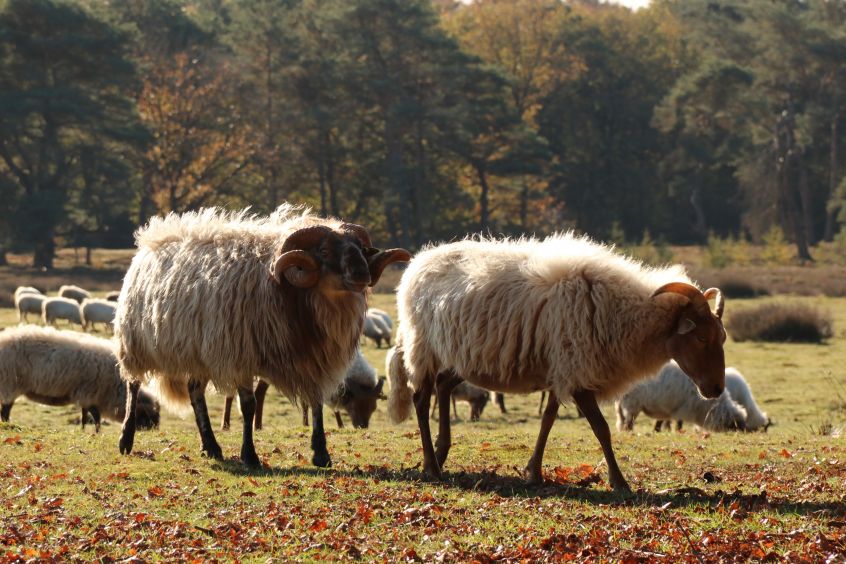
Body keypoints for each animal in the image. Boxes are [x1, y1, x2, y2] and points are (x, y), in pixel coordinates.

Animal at [0, 324, 161, 430]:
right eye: (147, 413)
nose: (155, 429)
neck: (116, 388)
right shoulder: (88, 393)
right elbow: (95, 416)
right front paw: (96, 431)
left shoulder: (86, 395)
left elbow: (85, 415)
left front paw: (84, 430)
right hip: (9, 383)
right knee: (5, 409)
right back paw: (6, 424)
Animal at [115, 206, 410, 468]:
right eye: (325, 251)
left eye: (360, 249)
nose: (362, 275)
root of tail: (151, 239)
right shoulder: (241, 354)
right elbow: (248, 406)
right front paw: (250, 456)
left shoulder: (314, 358)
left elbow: (316, 404)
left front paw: (321, 454)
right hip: (135, 343)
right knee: (133, 385)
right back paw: (126, 439)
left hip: (198, 350)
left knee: (195, 392)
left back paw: (211, 446)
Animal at [390, 232, 728, 490]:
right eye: (701, 338)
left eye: (722, 337)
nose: (716, 389)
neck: (625, 313)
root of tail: (419, 262)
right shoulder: (578, 373)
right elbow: (602, 428)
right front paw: (619, 482)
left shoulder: (563, 370)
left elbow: (548, 419)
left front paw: (534, 472)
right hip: (424, 348)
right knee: (422, 399)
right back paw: (432, 466)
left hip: (463, 358)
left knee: (444, 386)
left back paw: (440, 453)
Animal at [616, 362, 748, 432]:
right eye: (736, 424)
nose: (745, 432)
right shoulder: (684, 407)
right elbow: (679, 422)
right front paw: (678, 431)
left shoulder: (669, 408)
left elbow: (662, 421)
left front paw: (660, 431)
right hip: (633, 403)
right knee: (629, 422)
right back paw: (629, 431)